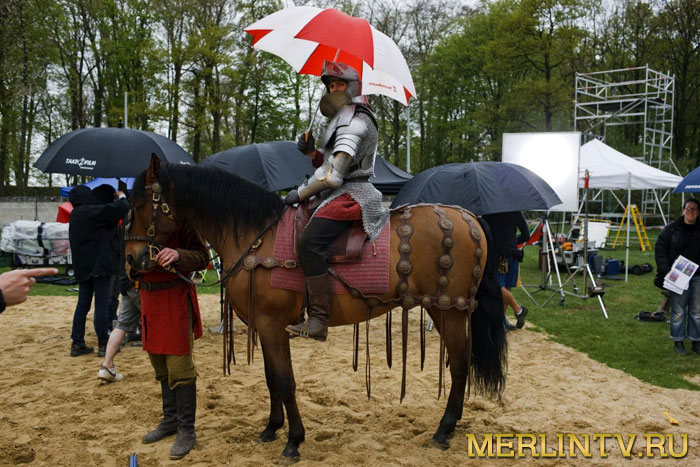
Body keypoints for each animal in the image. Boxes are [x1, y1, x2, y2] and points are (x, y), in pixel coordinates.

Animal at [125, 155, 507, 461]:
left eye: (141, 205)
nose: (132, 258)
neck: (256, 236)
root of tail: (470, 217)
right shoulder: (266, 327)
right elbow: (271, 379)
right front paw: (271, 428)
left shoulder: (272, 324)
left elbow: (285, 381)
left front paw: (293, 441)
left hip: (448, 310)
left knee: (460, 365)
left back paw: (443, 430)